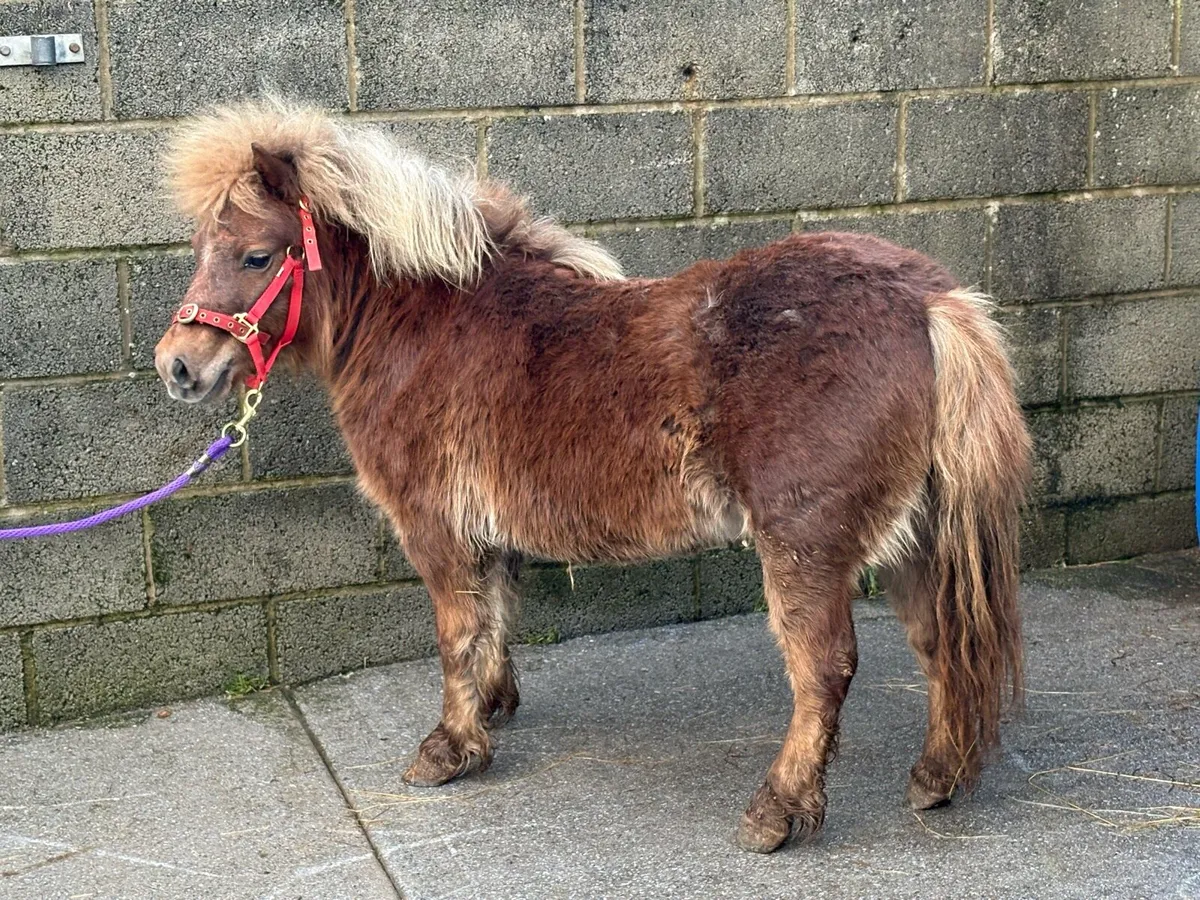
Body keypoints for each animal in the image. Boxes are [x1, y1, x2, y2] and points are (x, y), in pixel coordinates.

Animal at [154, 99, 1031, 853]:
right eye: (200, 252)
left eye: (256, 255)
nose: (177, 366)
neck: (426, 323)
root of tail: (931, 302)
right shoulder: (487, 531)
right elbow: (494, 616)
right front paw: (494, 709)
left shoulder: (435, 527)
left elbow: (456, 633)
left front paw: (450, 748)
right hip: (916, 537)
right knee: (940, 639)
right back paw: (937, 778)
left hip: (806, 545)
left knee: (823, 670)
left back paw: (777, 812)